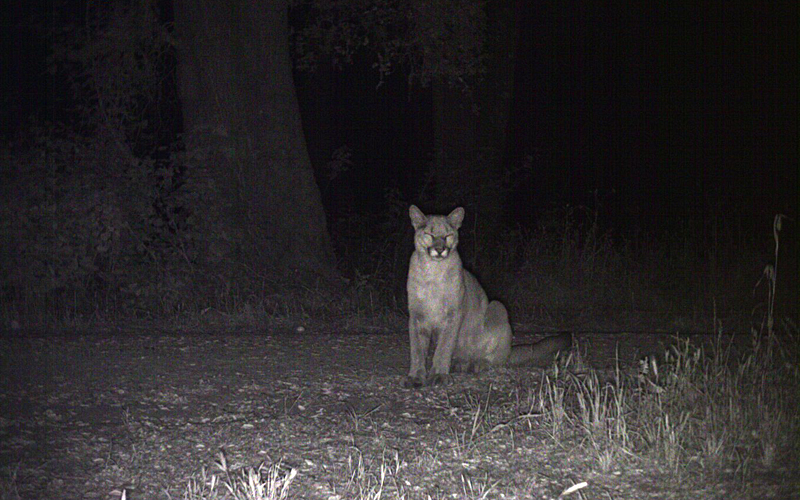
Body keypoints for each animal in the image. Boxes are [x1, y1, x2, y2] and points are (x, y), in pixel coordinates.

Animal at [406, 205, 568, 388]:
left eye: (448, 235)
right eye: (430, 234)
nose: (440, 250)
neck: (433, 271)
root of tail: (510, 350)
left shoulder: (452, 316)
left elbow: (443, 348)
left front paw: (439, 375)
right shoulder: (416, 316)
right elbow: (417, 351)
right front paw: (416, 377)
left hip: (497, 306)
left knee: (496, 360)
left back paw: (476, 363)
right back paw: (460, 363)